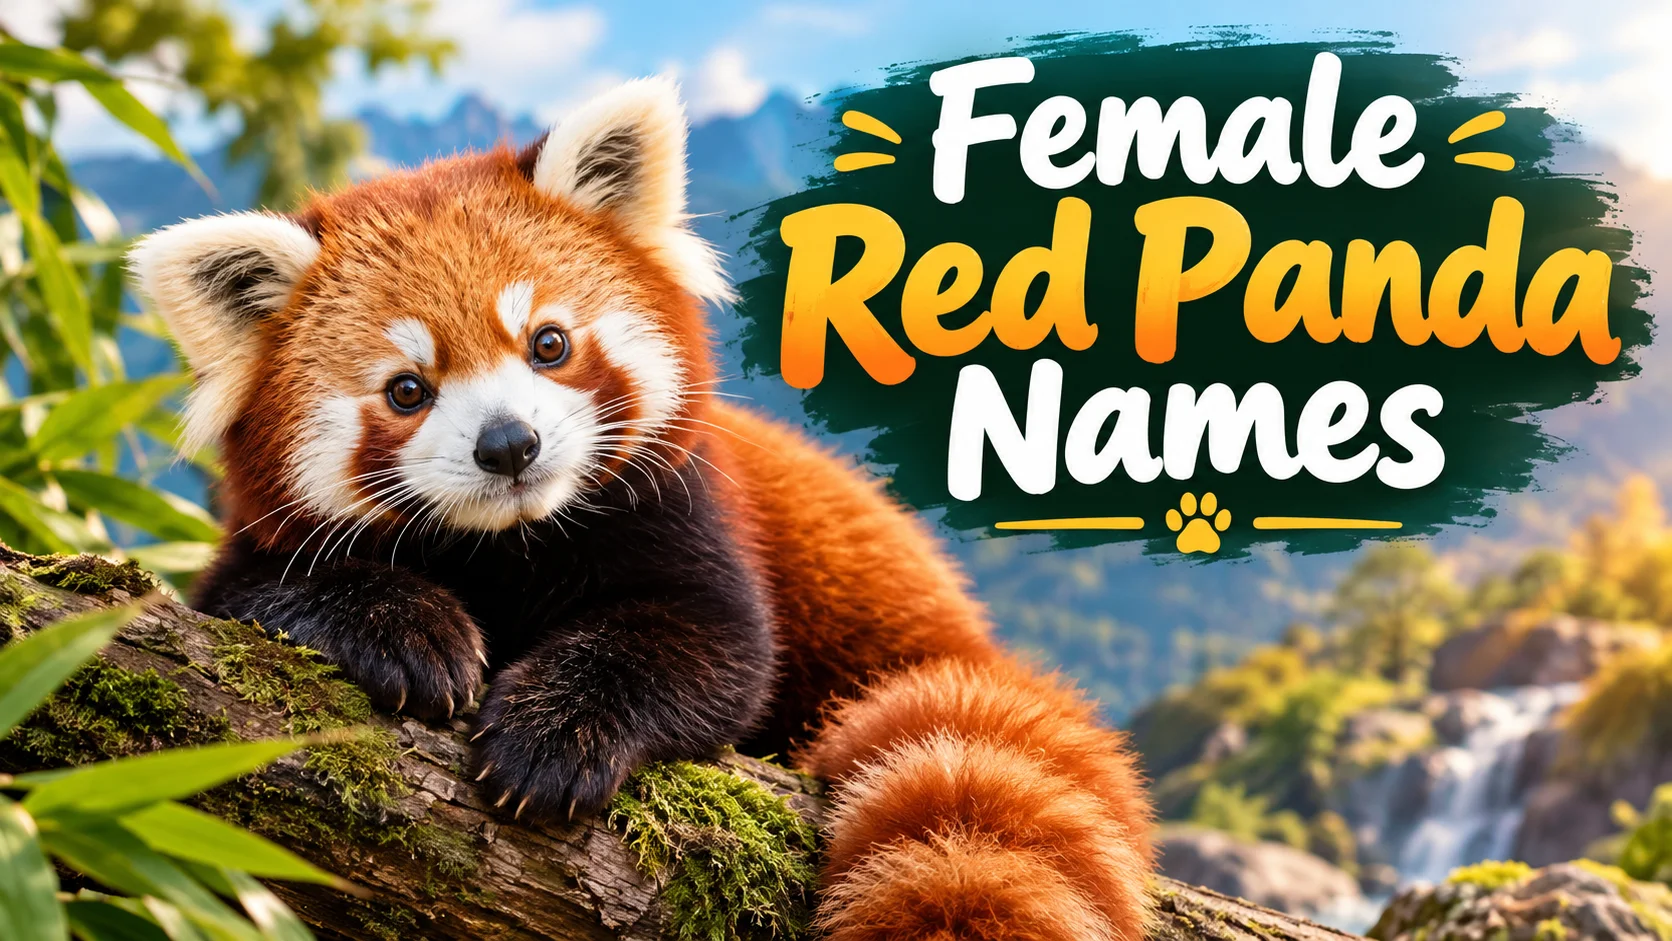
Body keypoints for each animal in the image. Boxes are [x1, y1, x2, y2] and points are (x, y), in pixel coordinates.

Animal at [130, 77, 1153, 941]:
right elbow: (256, 592)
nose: (509, 444)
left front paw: (551, 734)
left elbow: (713, 646)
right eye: (407, 389)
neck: (511, 547)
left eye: (548, 343)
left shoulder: (688, 512)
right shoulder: (255, 545)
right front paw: (406, 630)